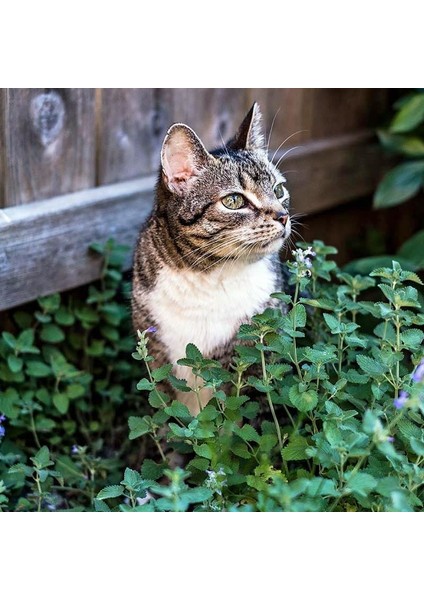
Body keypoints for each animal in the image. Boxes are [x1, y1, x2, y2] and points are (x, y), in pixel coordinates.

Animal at [132, 103, 292, 414]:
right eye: (234, 201)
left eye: (278, 190)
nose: (283, 215)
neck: (210, 274)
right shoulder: (156, 359)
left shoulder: (252, 360)